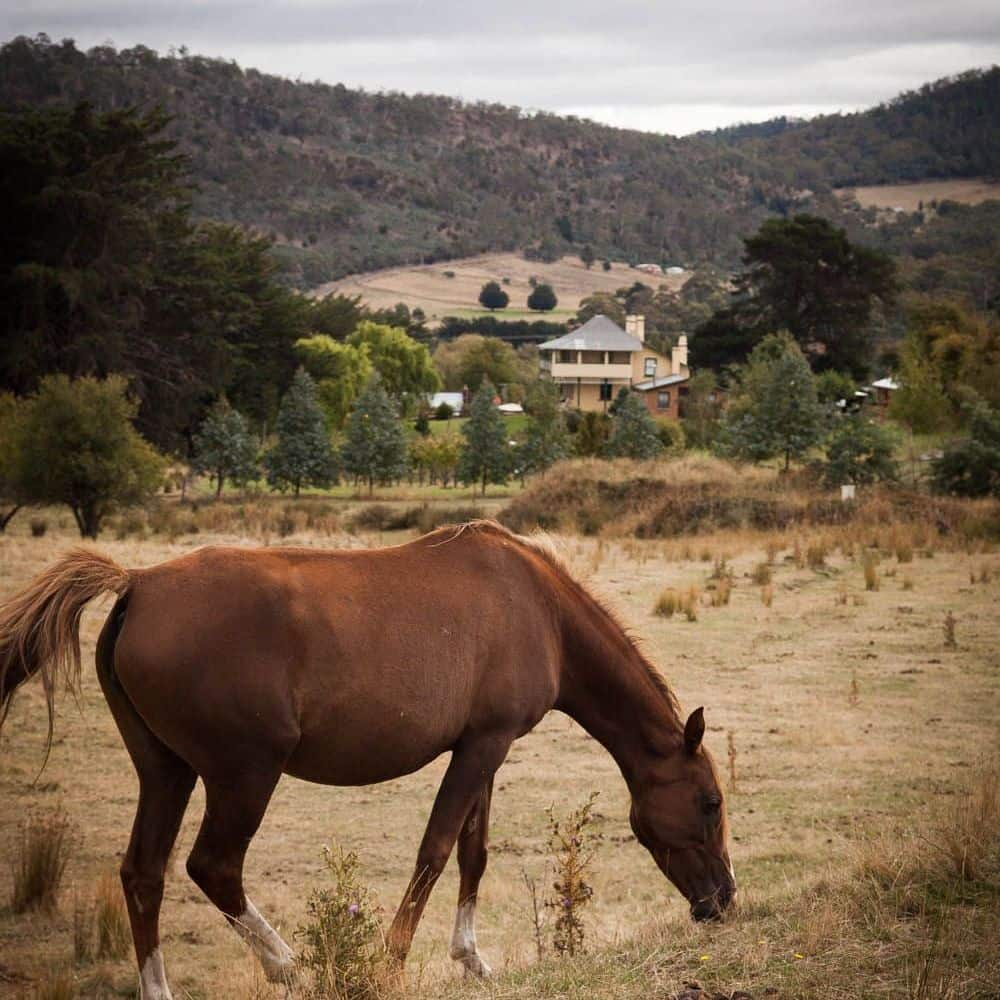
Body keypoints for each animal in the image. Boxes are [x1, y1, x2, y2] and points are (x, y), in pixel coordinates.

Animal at [0, 520, 736, 996]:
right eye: (709, 802)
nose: (723, 902)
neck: (538, 606)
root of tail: (138, 585)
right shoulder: (482, 747)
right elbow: (436, 850)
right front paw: (390, 961)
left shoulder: (486, 748)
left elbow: (473, 852)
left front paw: (472, 959)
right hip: (243, 776)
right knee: (213, 867)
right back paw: (291, 967)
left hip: (166, 772)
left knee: (143, 875)